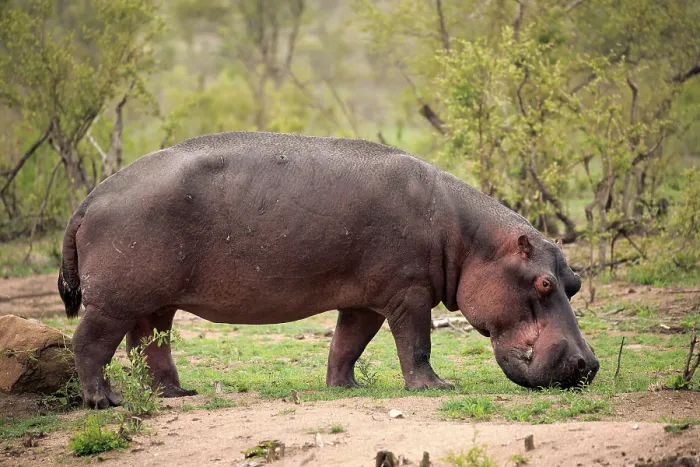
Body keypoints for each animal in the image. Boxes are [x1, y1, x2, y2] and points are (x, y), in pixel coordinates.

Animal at [58, 131, 599, 409]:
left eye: (574, 282)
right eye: (543, 283)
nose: (588, 366)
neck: (469, 239)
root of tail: (90, 198)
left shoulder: (365, 302)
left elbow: (346, 345)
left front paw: (345, 388)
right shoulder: (408, 295)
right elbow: (416, 343)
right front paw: (436, 387)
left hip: (154, 300)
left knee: (150, 344)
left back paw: (176, 393)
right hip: (115, 301)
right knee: (90, 344)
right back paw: (105, 402)